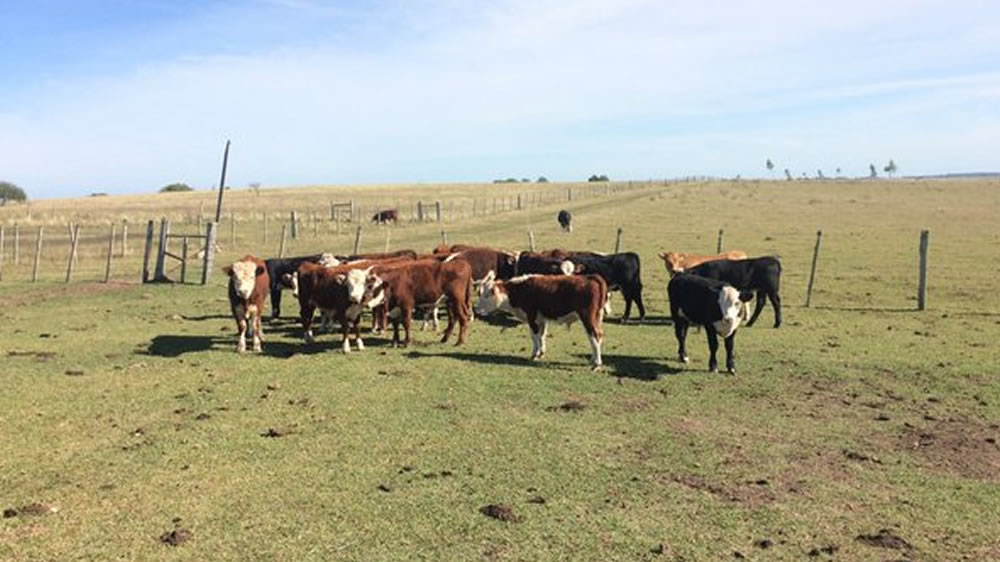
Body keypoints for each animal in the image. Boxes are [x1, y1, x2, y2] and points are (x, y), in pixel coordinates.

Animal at [478, 270, 608, 370]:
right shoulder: (541, 320)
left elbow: (535, 336)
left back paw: (596, 364)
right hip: (597, 317)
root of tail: (590, 277)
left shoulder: (532, 317)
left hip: (588, 317)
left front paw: (535, 354)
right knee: (596, 336)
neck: (519, 290)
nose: (476, 309)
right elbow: (541, 336)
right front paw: (541, 353)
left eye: (486, 295)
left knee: (595, 335)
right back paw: (592, 360)